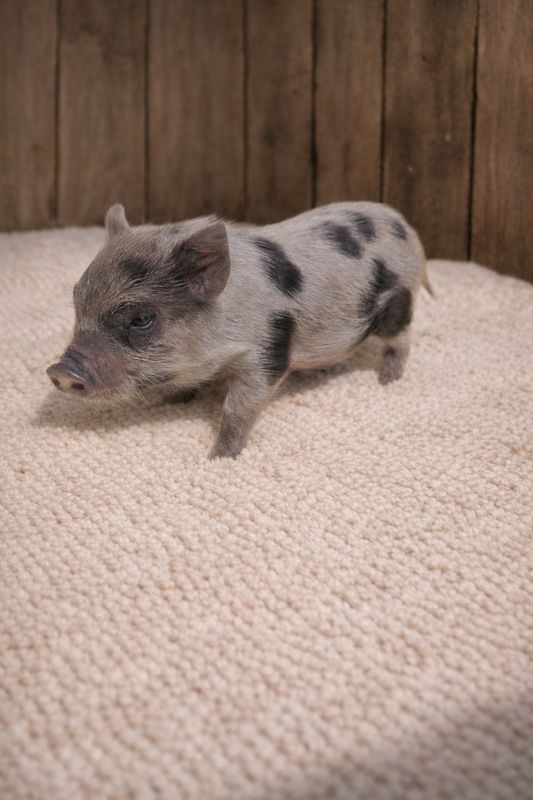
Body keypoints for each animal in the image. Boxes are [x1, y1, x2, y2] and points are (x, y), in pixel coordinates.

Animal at [46, 201, 431, 458]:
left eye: (140, 319)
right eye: (78, 303)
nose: (60, 370)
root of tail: (407, 228)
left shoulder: (265, 353)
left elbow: (238, 408)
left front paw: (220, 457)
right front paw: (168, 403)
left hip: (398, 304)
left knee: (402, 340)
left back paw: (387, 380)